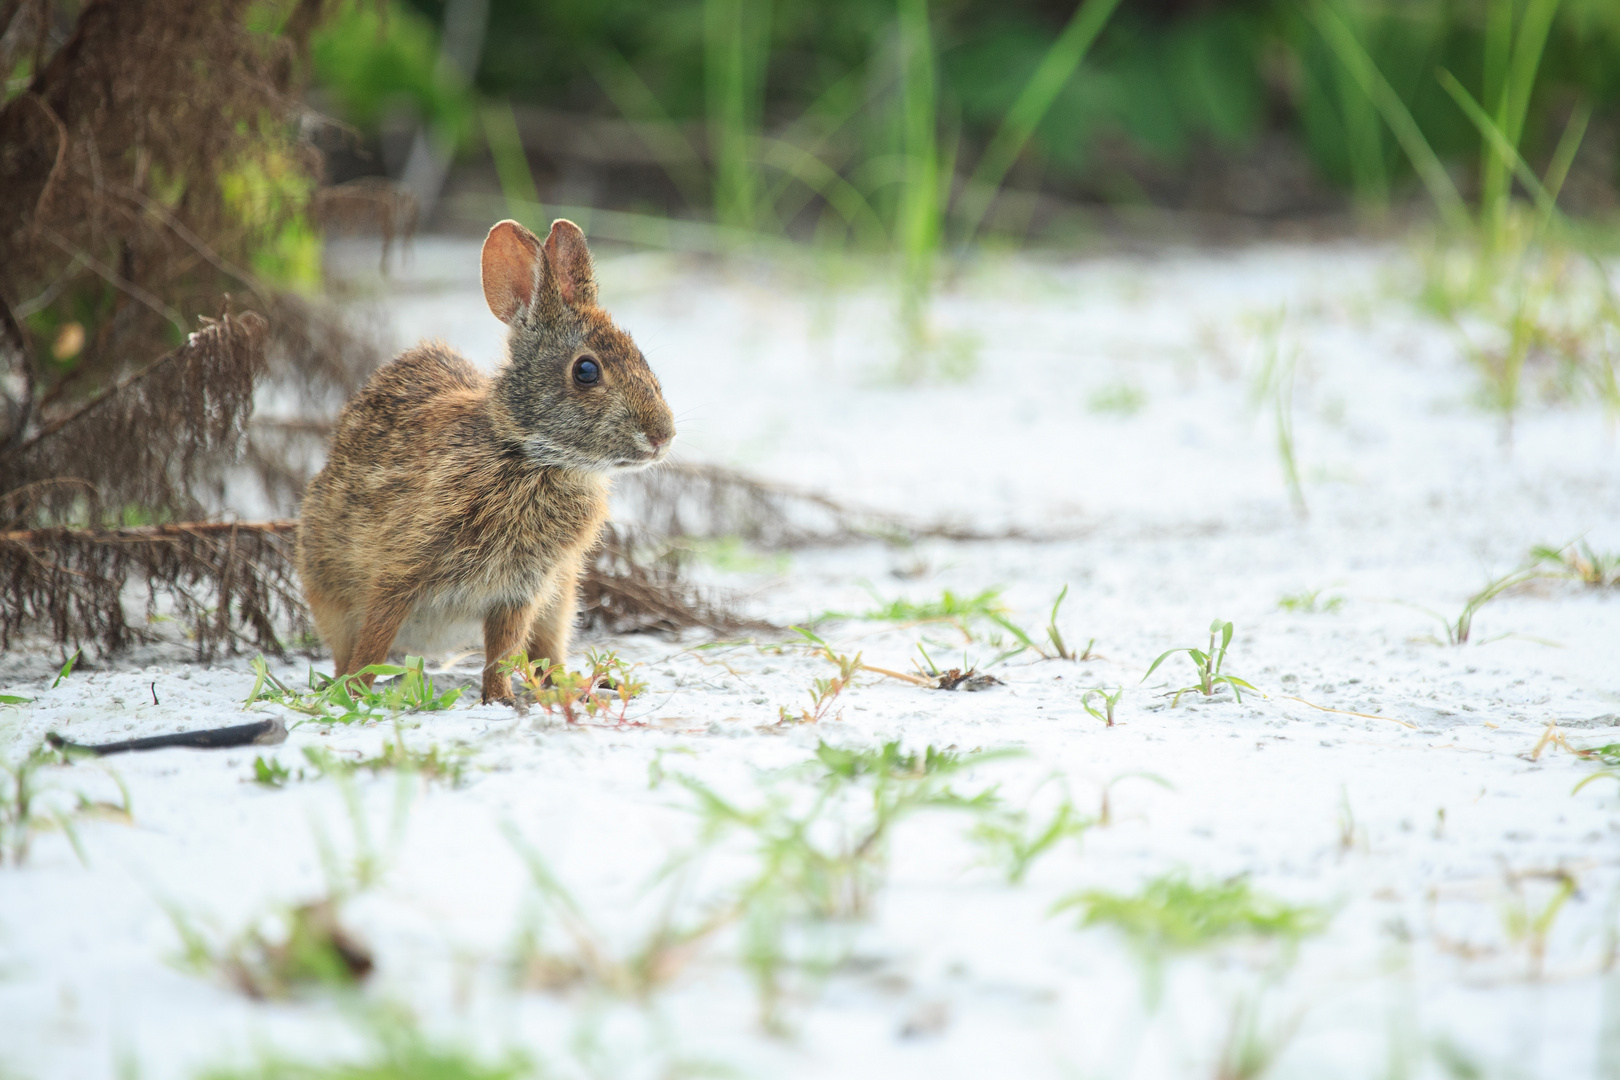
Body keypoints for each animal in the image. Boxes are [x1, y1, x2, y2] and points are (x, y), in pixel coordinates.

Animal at [294, 220, 673, 709]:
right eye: (586, 371)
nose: (662, 436)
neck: (528, 453)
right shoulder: (399, 573)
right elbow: (375, 637)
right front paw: (355, 692)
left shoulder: (519, 591)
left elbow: (503, 650)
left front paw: (500, 699)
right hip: (325, 583)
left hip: (561, 596)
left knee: (547, 653)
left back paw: (580, 686)